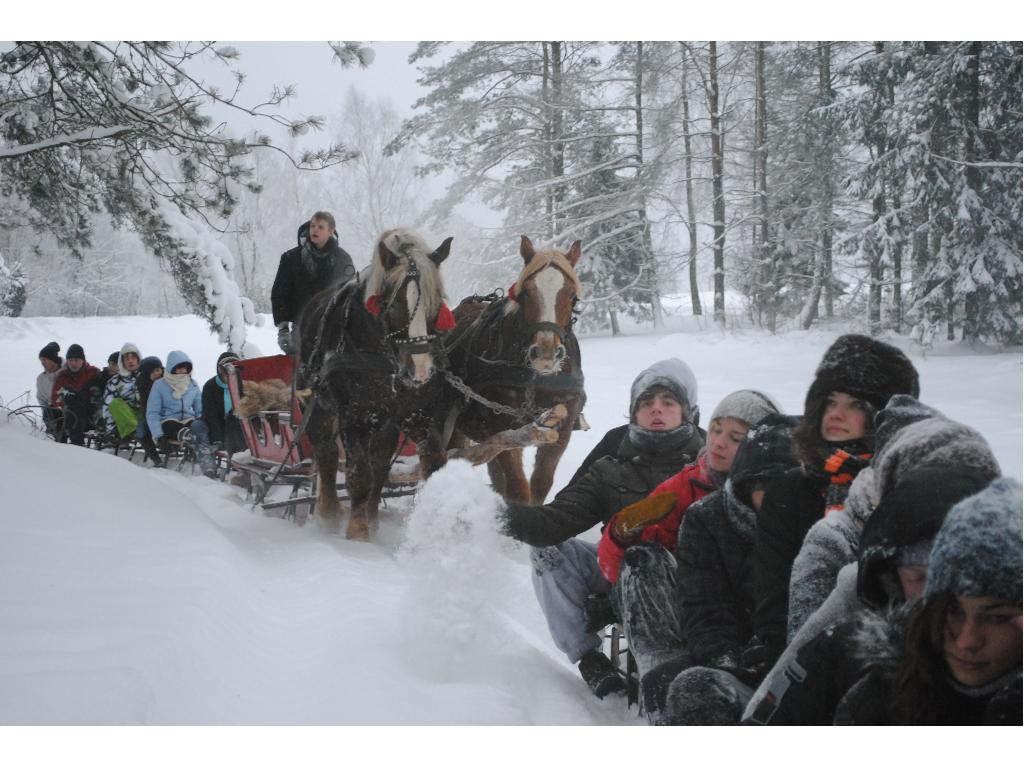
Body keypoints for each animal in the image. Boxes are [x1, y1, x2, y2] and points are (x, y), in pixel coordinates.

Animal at [299, 228, 454, 540]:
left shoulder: (414, 415)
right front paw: (357, 533)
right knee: (327, 453)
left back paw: (372, 516)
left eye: (436, 303)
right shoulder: (353, 416)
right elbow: (359, 474)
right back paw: (329, 514)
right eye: (394, 305)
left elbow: (432, 464)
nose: (421, 371)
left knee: (380, 463)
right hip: (319, 407)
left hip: (385, 422)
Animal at [446, 237, 585, 507]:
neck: (536, 379)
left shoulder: (561, 429)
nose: (545, 353)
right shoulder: (503, 427)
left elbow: (540, 484)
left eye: (572, 296)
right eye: (525, 293)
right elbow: (518, 489)